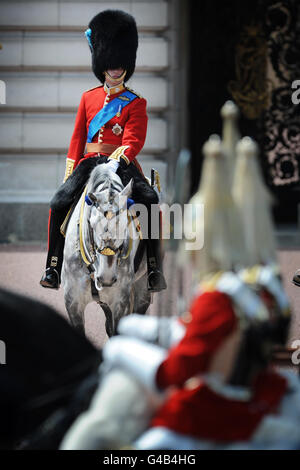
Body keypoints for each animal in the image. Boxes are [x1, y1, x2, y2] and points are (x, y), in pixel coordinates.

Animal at [61, 165, 150, 338]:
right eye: (91, 223)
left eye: (125, 226)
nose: (106, 277)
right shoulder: (73, 301)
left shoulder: (120, 302)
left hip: (143, 286)